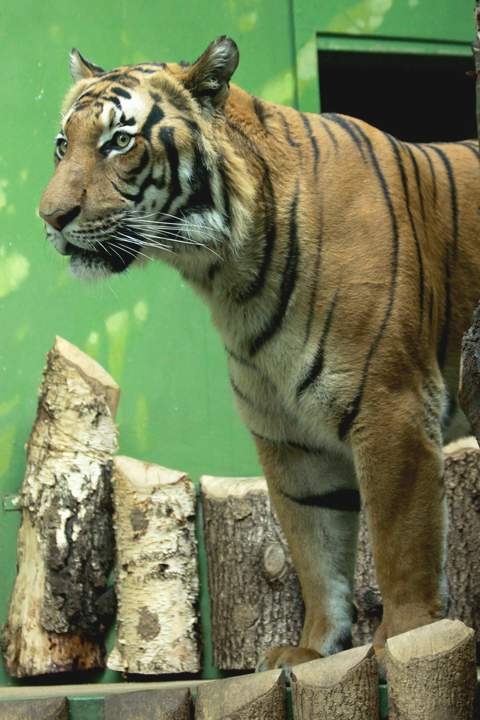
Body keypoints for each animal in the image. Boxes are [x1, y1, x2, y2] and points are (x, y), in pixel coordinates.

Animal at [39, 36, 480, 671]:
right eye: (61, 144)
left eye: (119, 141)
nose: (50, 219)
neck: (229, 276)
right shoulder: (288, 437)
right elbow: (315, 549)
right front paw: (312, 649)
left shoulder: (392, 406)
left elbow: (401, 540)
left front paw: (401, 638)